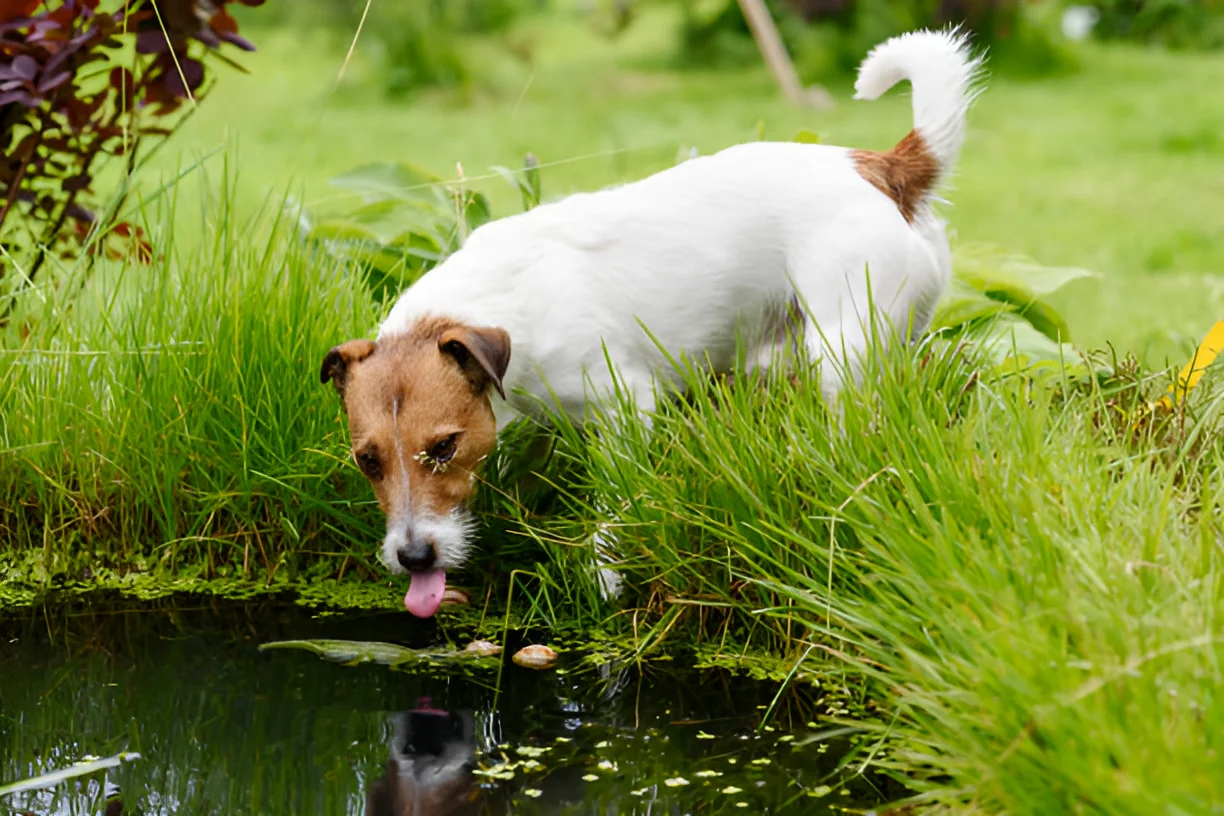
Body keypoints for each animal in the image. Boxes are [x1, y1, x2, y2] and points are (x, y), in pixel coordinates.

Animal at [320, 27, 979, 619]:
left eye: (443, 447)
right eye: (368, 461)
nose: (413, 558)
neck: (497, 301)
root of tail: (882, 166)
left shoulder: (626, 407)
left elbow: (614, 503)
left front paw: (606, 576)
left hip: (842, 349)